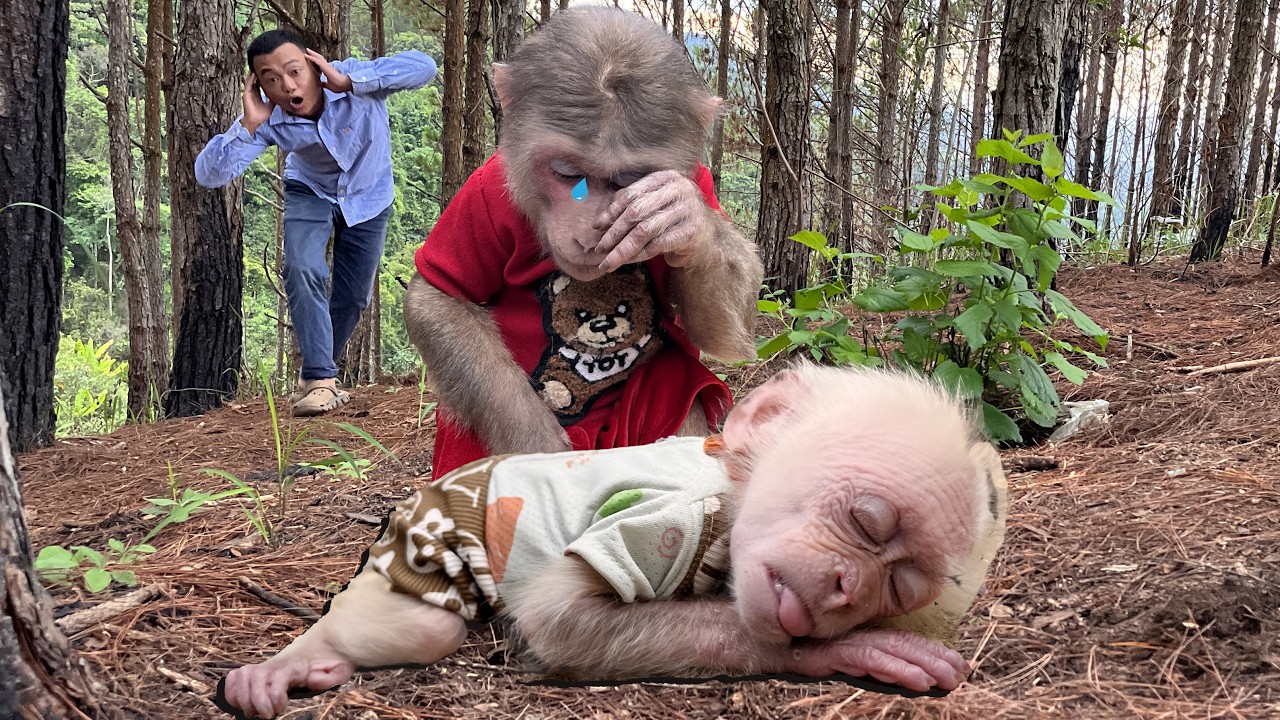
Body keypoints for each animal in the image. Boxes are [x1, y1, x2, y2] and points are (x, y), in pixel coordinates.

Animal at [217, 365, 1009, 719]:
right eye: (867, 522)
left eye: (896, 585)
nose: (848, 590)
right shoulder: (670, 518)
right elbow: (560, 617)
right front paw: (848, 651)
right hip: (425, 535)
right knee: (417, 621)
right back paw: (296, 660)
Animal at [401, 7, 765, 479]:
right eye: (566, 172)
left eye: (627, 180)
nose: (591, 230)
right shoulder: (484, 195)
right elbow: (438, 297)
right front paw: (531, 446)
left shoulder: (698, 179)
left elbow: (719, 335)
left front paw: (682, 216)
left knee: (672, 381)